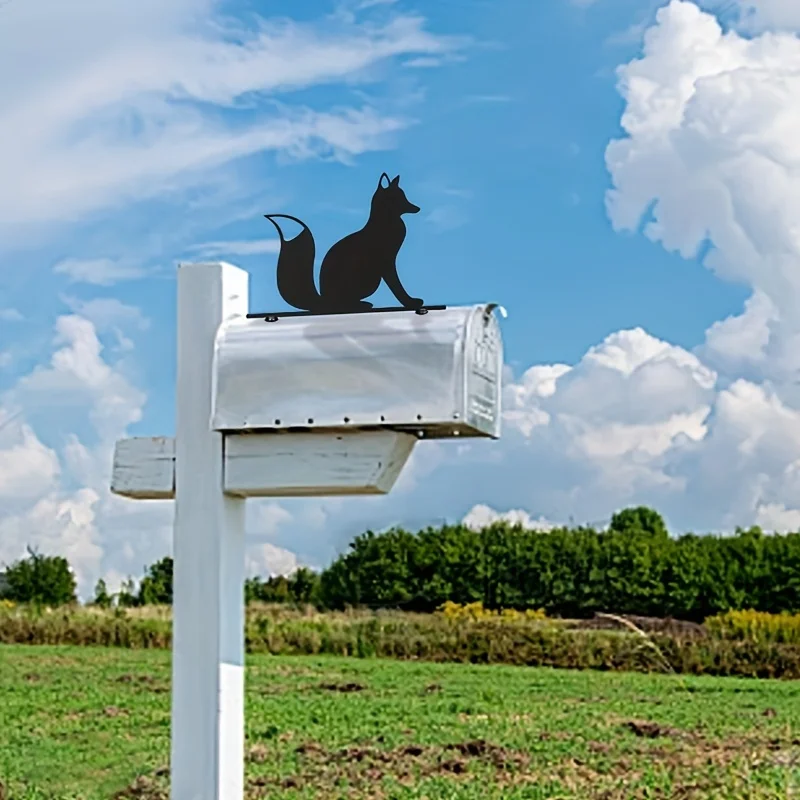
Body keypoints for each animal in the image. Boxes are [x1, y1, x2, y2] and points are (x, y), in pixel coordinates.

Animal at [264, 173, 424, 313]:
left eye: (404, 197)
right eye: (398, 198)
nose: (417, 208)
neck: (386, 221)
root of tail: (323, 300)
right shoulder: (386, 262)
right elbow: (397, 286)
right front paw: (410, 302)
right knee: (345, 303)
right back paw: (361, 305)